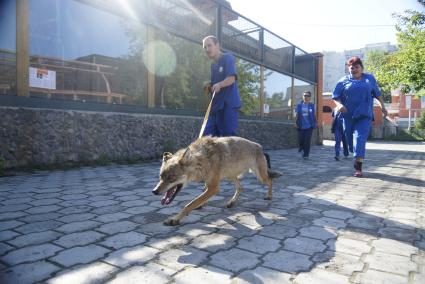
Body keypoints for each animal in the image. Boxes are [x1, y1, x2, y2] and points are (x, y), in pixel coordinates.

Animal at [152, 136, 282, 226]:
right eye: (161, 177)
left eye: (171, 178)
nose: (154, 191)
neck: (202, 159)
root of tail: (259, 146)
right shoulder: (209, 184)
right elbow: (199, 198)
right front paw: (200, 204)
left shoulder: (214, 187)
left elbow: (189, 204)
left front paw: (174, 219)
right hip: (231, 175)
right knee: (240, 187)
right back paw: (231, 202)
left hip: (260, 178)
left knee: (270, 180)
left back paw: (269, 196)